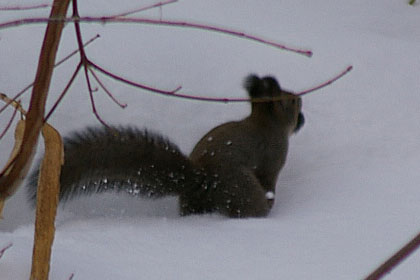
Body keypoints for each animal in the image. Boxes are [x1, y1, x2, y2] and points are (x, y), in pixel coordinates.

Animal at [27, 74, 302, 219]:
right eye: (292, 102)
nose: (302, 117)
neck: (265, 123)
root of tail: (200, 178)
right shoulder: (275, 156)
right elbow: (269, 179)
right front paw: (272, 200)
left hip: (193, 202)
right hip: (241, 189)